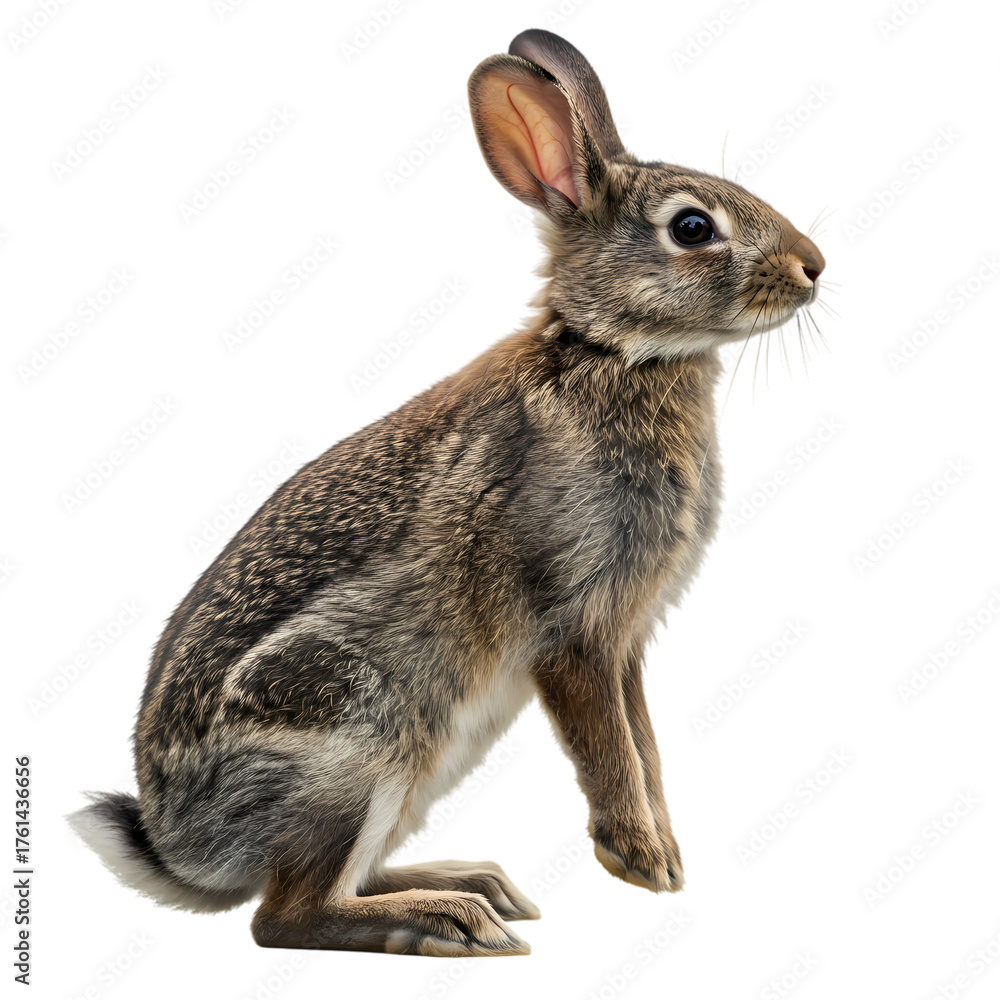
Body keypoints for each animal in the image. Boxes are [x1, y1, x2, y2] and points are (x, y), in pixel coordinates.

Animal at [69, 27, 824, 957]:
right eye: (692, 227)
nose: (814, 267)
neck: (610, 353)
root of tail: (178, 845)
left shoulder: (627, 641)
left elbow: (642, 743)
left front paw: (667, 854)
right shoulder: (572, 628)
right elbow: (609, 746)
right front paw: (640, 861)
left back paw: (475, 886)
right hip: (357, 739)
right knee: (285, 916)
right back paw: (449, 921)